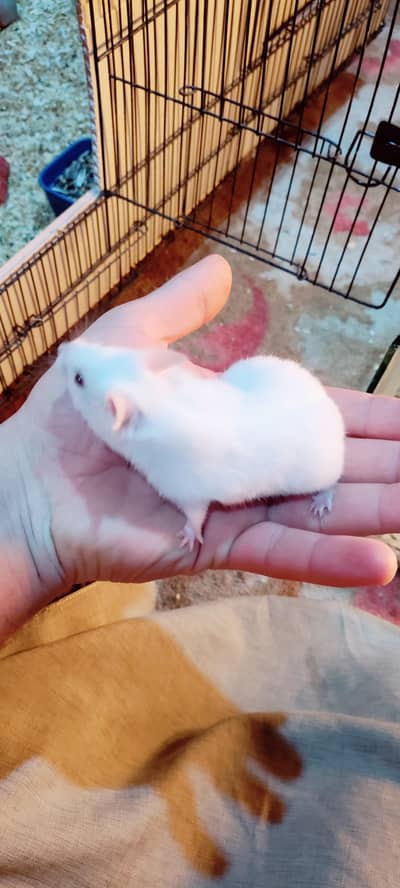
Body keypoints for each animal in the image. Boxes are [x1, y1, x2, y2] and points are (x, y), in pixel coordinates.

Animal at [57, 338, 345, 550]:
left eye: (79, 379)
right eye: (106, 348)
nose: (62, 347)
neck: (155, 395)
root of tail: (334, 416)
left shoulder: (187, 492)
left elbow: (196, 516)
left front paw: (187, 539)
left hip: (318, 472)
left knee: (333, 483)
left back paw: (320, 504)